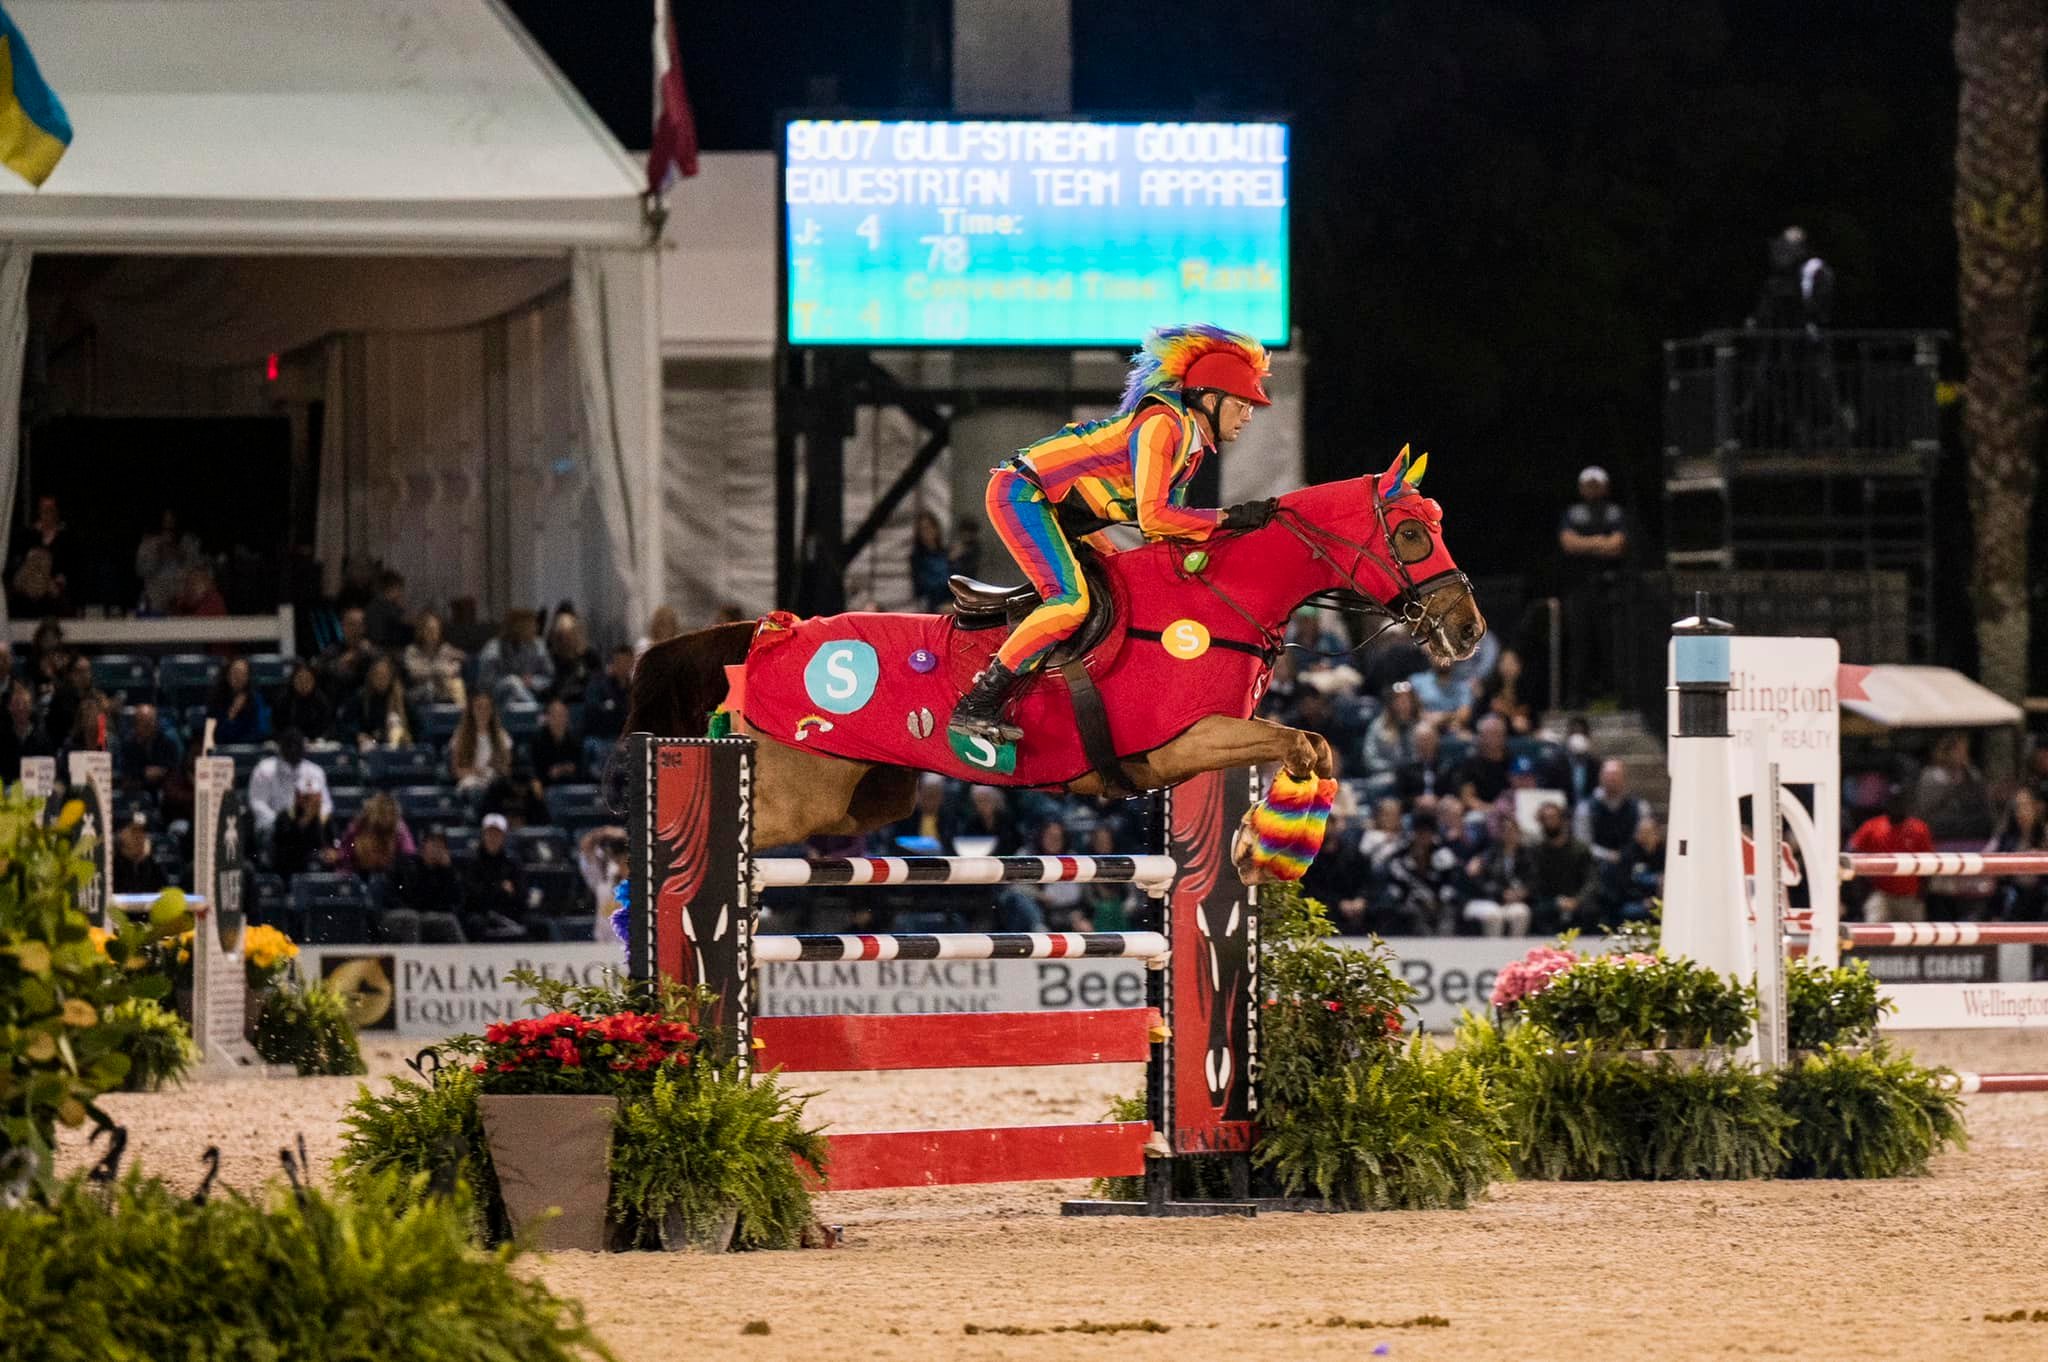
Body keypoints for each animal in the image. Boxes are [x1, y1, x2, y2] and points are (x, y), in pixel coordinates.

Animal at [622, 440, 1474, 876]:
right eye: (1410, 533)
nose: (1466, 632)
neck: (1213, 597)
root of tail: (765, 635)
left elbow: (1313, 745)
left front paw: (1260, 847)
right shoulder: (1186, 742)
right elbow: (1305, 740)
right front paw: (1264, 851)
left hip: (870, 800)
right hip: (798, 796)